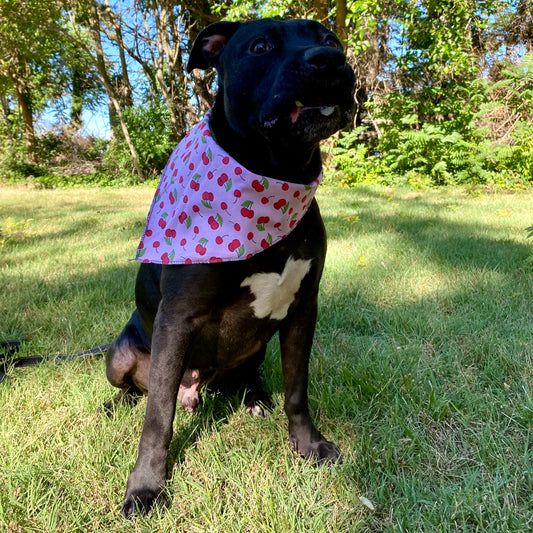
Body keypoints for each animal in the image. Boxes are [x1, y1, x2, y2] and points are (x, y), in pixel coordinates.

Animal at [105, 16, 354, 516]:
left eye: (330, 39)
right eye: (259, 46)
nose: (329, 59)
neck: (276, 175)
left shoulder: (303, 309)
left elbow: (297, 390)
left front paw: (309, 446)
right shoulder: (176, 319)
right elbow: (157, 418)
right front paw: (145, 487)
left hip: (255, 346)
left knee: (246, 375)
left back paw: (255, 397)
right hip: (118, 355)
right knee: (139, 392)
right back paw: (117, 403)